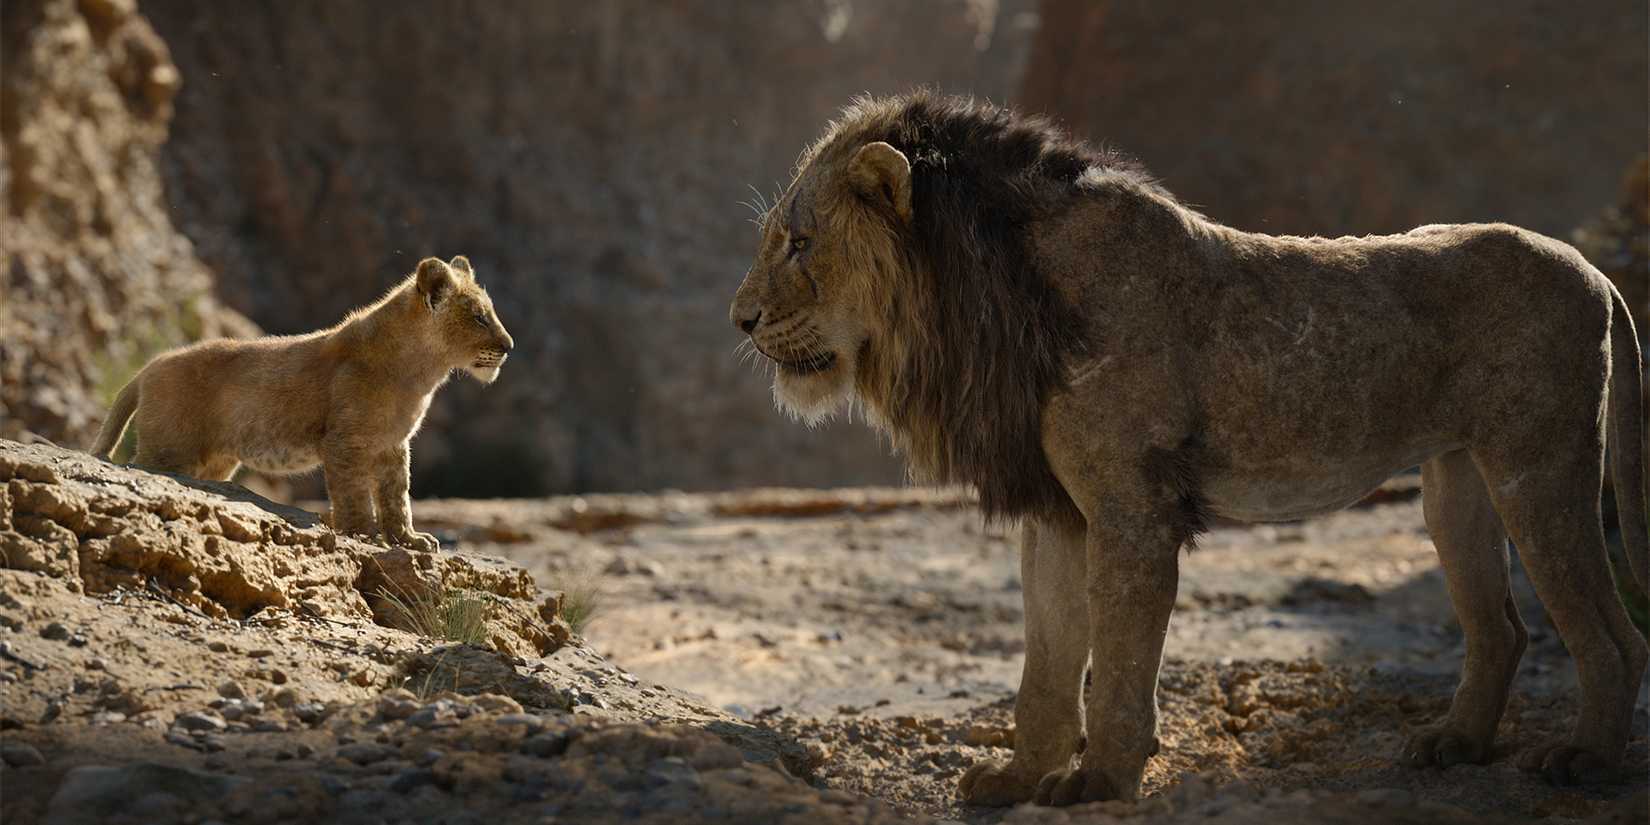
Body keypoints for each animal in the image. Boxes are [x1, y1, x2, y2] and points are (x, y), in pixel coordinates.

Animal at [91, 256, 513, 551]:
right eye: (479, 317)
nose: (509, 346)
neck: (421, 372)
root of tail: (148, 368)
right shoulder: (344, 441)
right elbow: (354, 494)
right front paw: (363, 533)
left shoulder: (393, 444)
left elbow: (397, 495)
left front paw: (409, 540)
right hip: (168, 451)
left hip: (213, 462)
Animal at [729, 92, 1648, 806]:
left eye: (800, 243)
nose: (740, 319)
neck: (988, 297)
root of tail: (1594, 269)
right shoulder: (1058, 510)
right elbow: (1046, 662)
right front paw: (1018, 777)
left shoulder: (1131, 508)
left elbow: (1119, 658)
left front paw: (1098, 780)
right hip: (1455, 482)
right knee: (1503, 627)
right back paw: (1453, 744)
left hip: (1538, 466)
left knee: (1611, 634)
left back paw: (1586, 760)